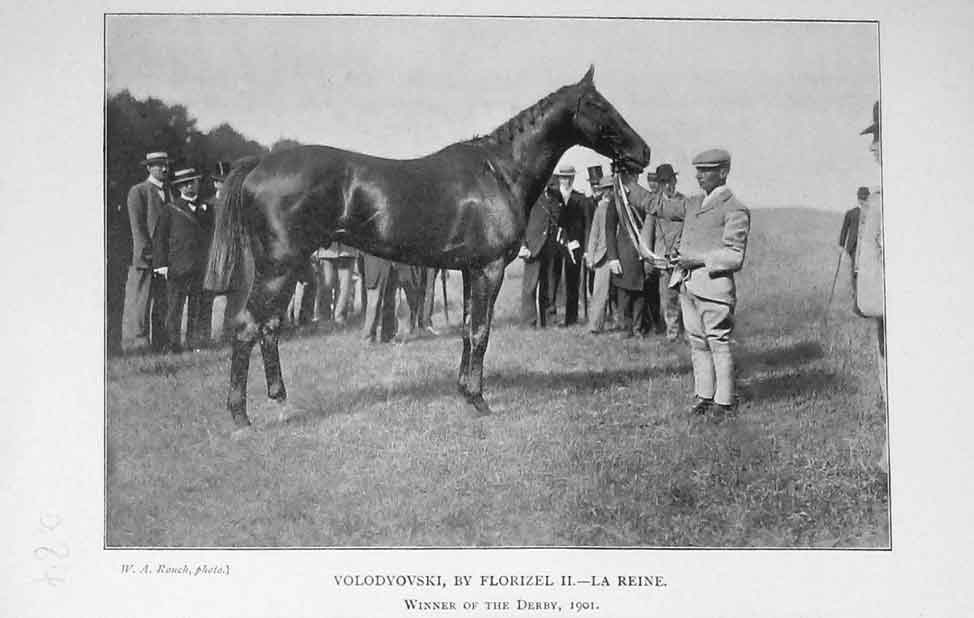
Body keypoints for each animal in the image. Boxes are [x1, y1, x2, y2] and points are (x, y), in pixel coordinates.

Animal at [204, 66, 651, 432]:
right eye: (598, 106)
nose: (642, 152)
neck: (501, 171)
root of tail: (259, 165)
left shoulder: (471, 270)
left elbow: (469, 329)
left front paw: (465, 392)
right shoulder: (490, 268)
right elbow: (481, 330)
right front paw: (479, 401)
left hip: (284, 268)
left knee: (268, 328)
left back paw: (281, 403)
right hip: (279, 268)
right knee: (246, 327)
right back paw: (241, 416)